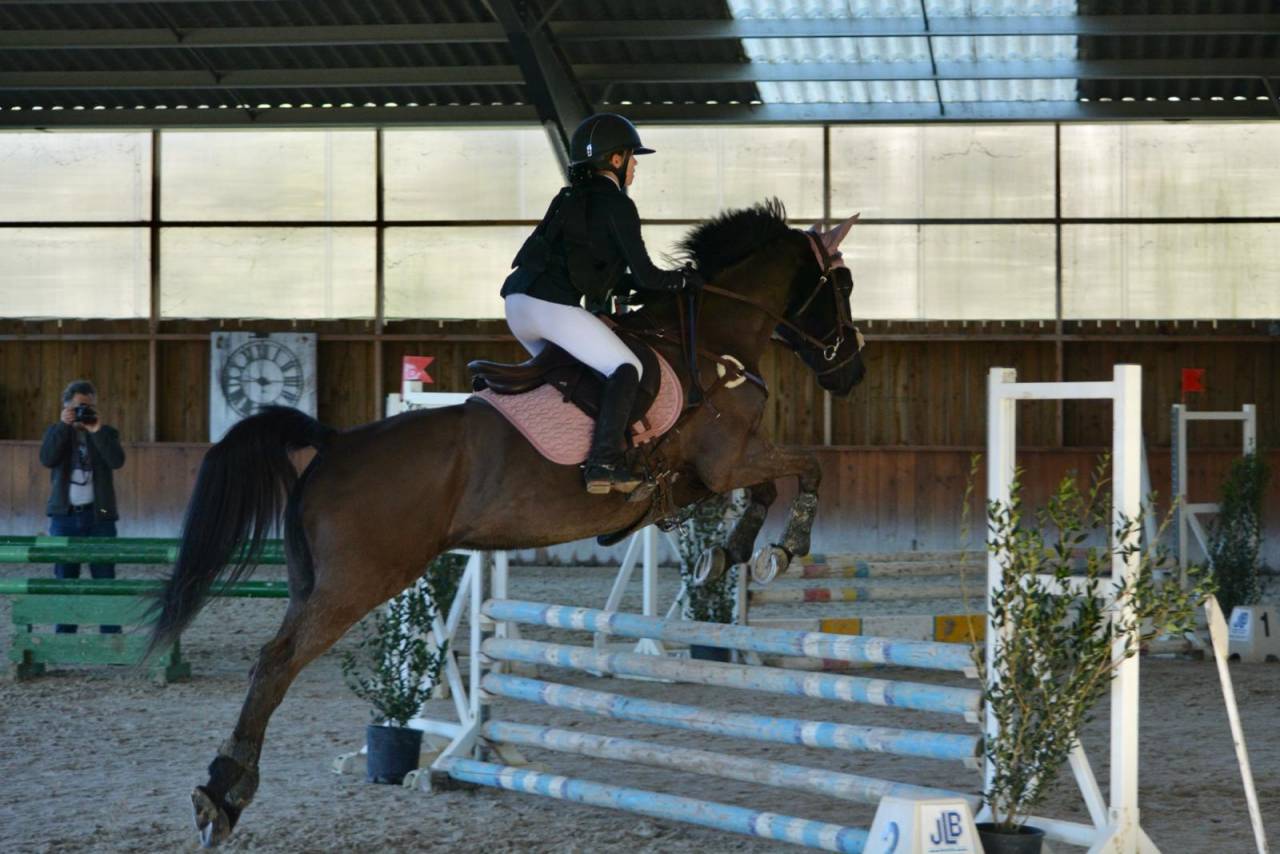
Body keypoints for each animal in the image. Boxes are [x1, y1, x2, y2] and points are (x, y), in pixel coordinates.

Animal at [150, 199, 866, 847]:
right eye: (845, 286)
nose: (851, 372)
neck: (711, 344)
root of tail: (332, 444)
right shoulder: (726, 460)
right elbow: (804, 471)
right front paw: (782, 548)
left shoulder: (714, 472)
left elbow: (766, 488)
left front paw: (731, 554)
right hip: (358, 582)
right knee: (277, 664)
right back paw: (225, 796)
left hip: (316, 581)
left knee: (272, 661)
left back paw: (221, 794)